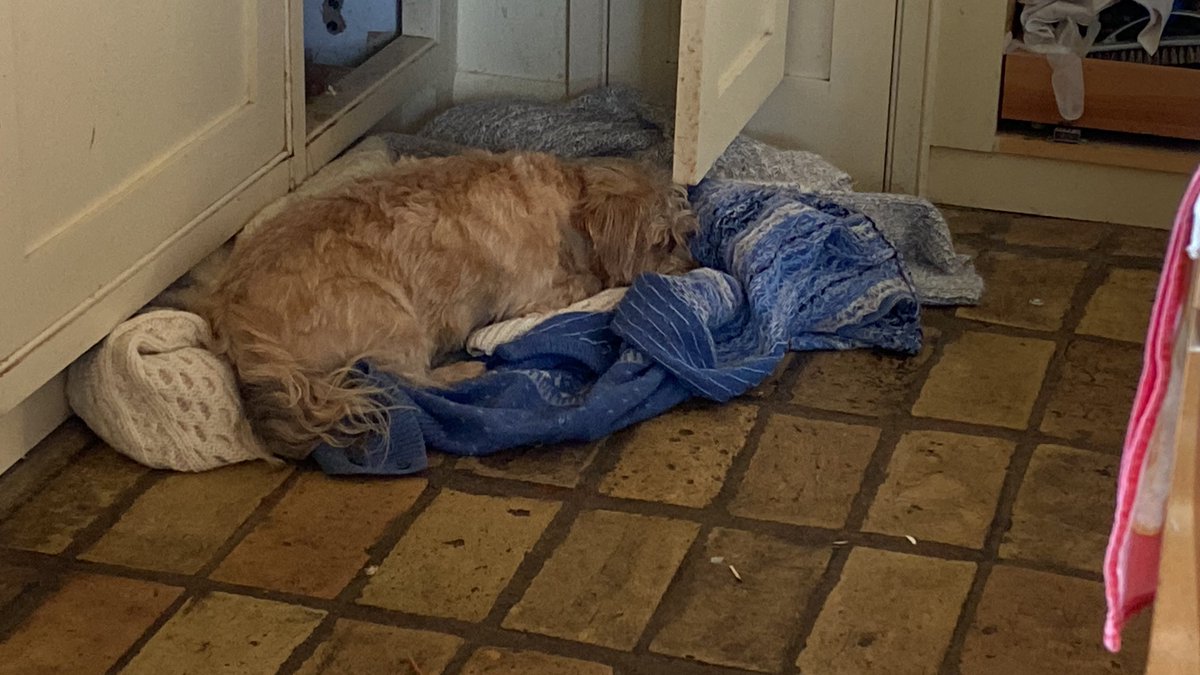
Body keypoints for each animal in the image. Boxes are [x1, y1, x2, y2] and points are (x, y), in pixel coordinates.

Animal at [204, 151, 696, 456]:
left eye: (686, 234)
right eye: (665, 241)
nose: (695, 266)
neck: (569, 202)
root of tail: (236, 324)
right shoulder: (534, 293)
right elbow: (586, 282)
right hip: (394, 318)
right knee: (405, 382)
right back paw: (465, 370)